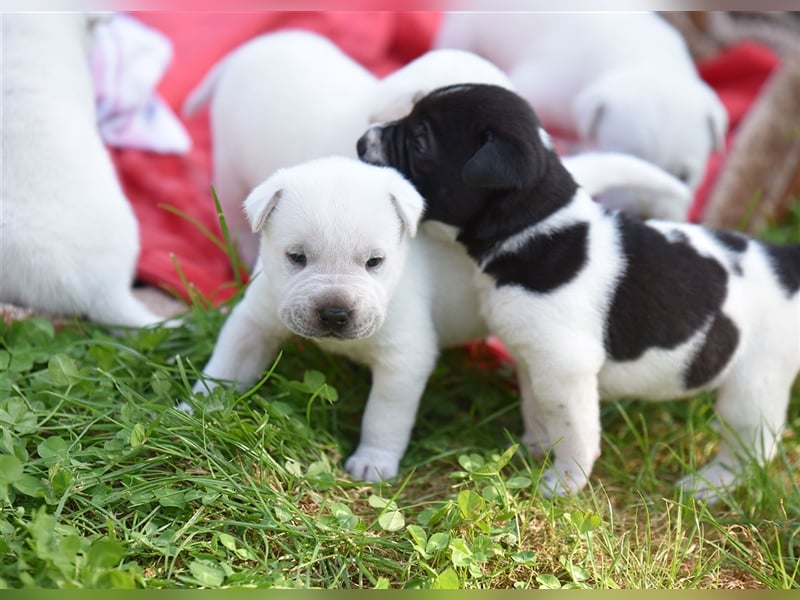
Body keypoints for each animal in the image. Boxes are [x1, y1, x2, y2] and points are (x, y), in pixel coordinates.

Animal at [358, 82, 800, 500]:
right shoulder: (532, 359)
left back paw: (711, 484)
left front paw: (564, 481)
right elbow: (538, 408)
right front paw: (535, 447)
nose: (362, 141)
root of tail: (788, 266)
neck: (534, 228)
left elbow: (573, 430)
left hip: (753, 387)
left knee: (753, 447)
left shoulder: (565, 368)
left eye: (420, 141)